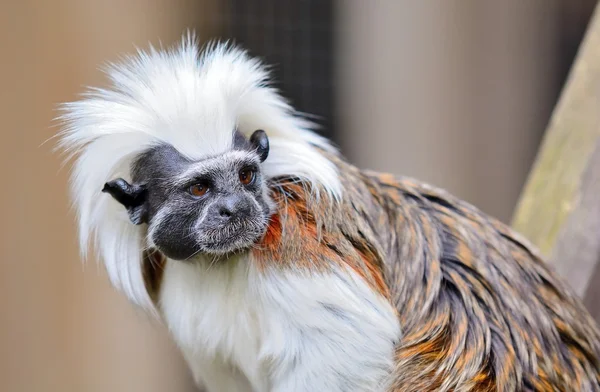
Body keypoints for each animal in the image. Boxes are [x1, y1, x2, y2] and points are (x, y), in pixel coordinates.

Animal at [57, 34, 600, 392]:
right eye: (198, 188)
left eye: (247, 177)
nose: (235, 207)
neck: (223, 262)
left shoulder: (298, 235)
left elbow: (348, 349)